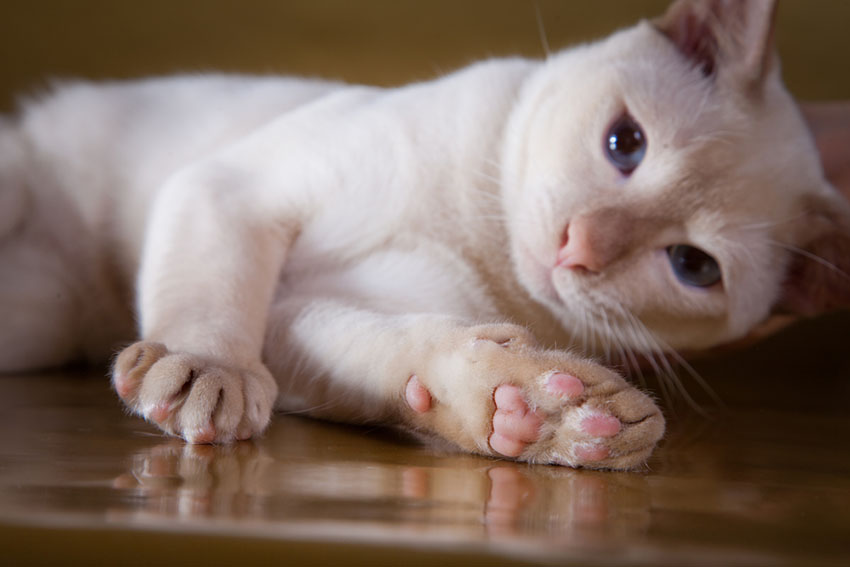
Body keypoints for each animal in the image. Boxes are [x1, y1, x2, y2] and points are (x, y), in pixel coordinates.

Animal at [0, 0, 844, 470]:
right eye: (624, 143)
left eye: (693, 266)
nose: (578, 246)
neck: (478, 228)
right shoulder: (236, 187)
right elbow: (212, 308)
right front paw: (205, 369)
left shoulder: (297, 314)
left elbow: (404, 356)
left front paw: (535, 414)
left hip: (36, 322)